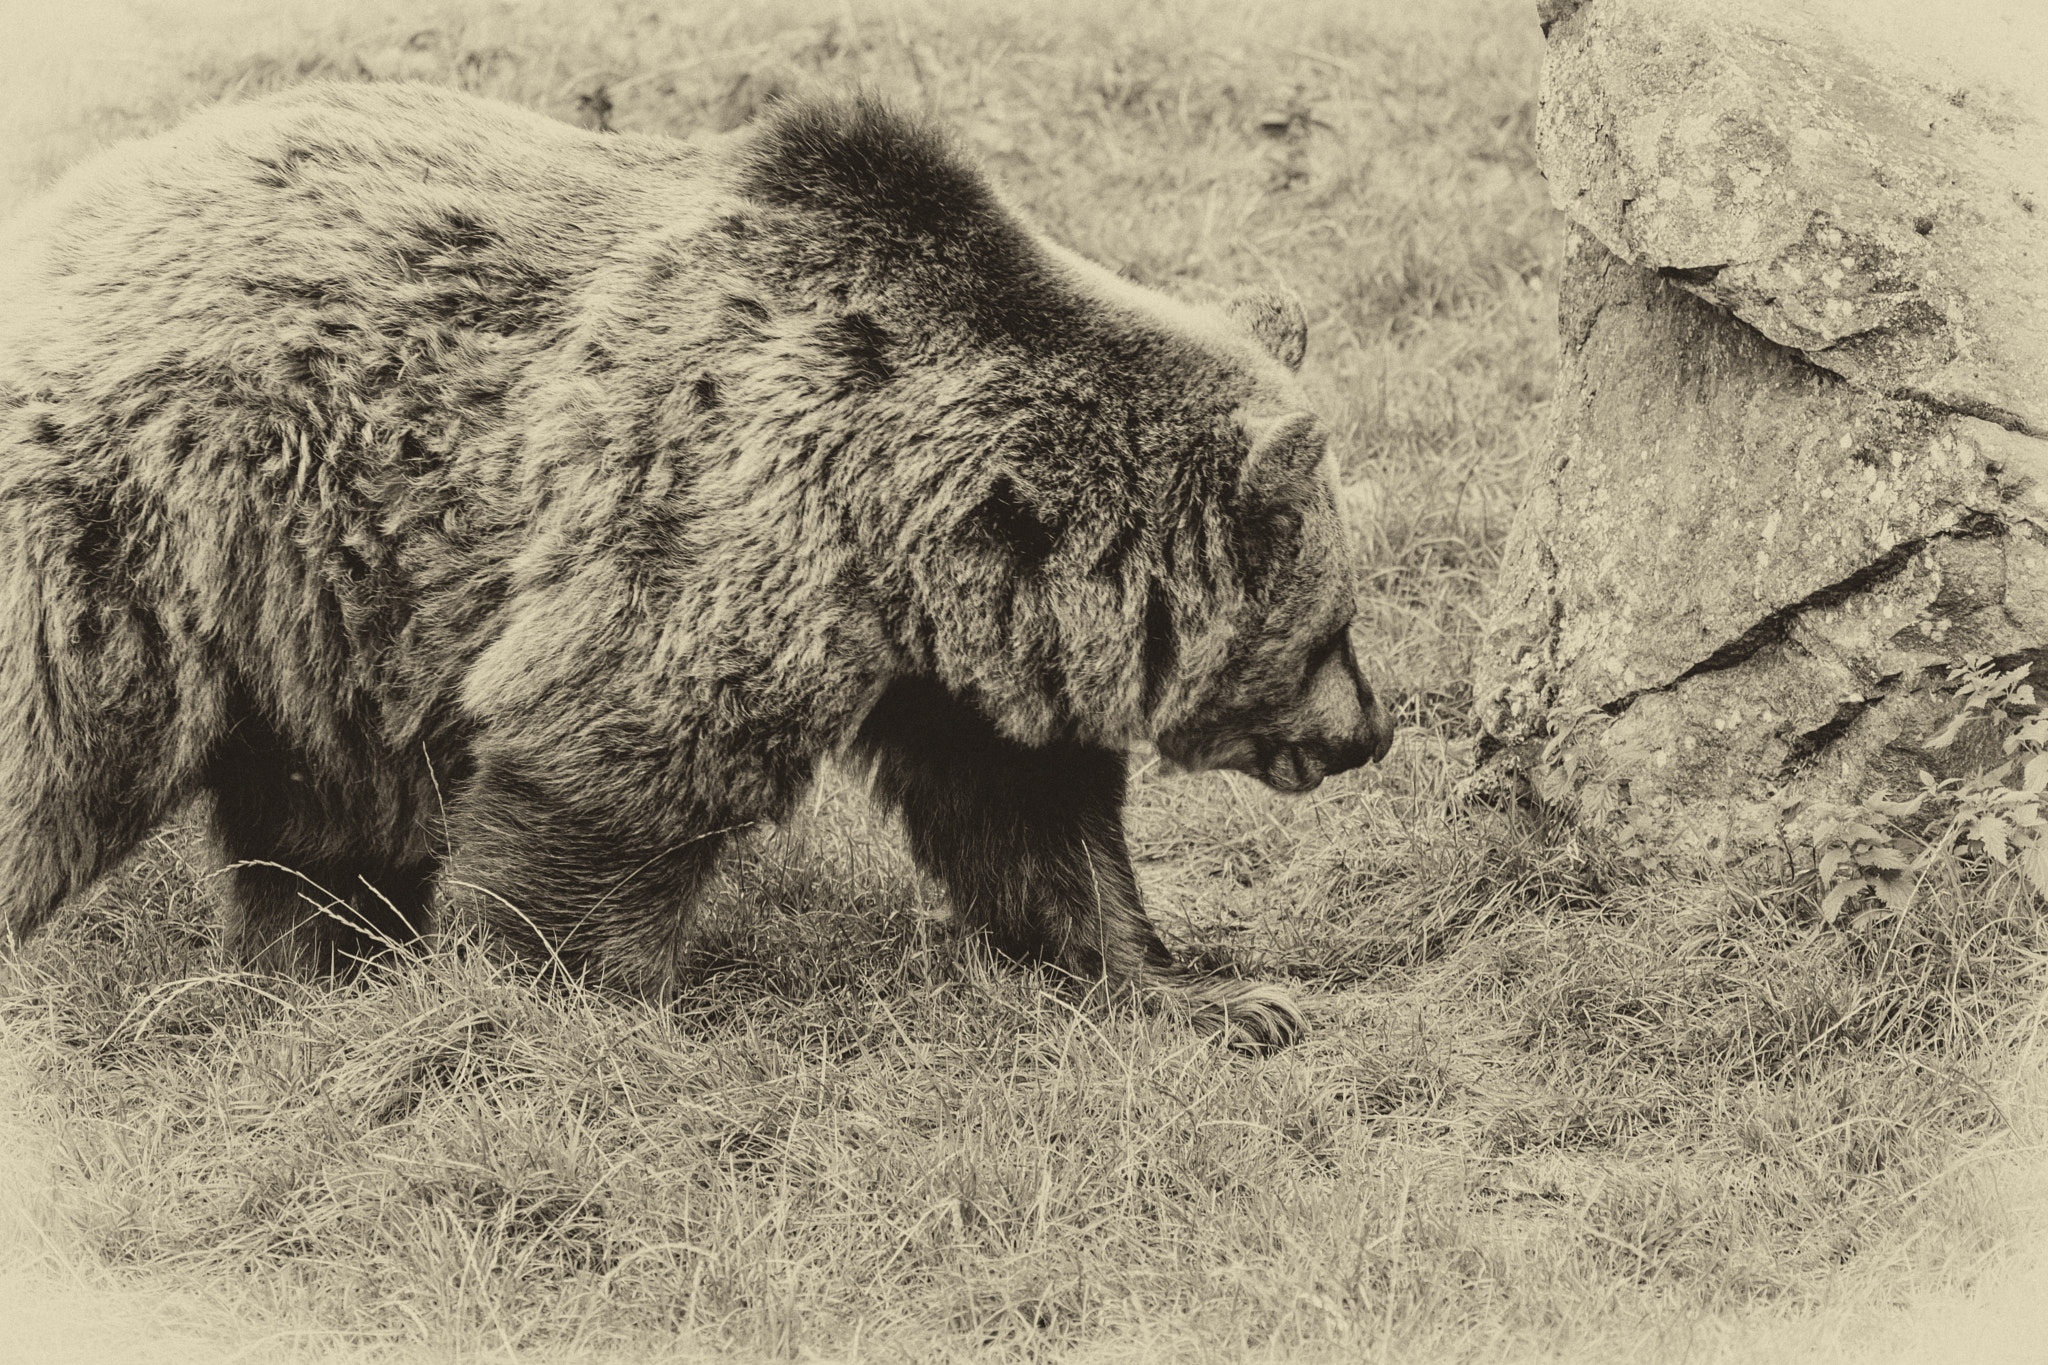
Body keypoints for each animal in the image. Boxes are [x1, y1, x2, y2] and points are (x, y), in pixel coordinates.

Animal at [0, 82, 1394, 1051]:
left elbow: (1033, 825)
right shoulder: (726, 510)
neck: (921, 526)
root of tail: (66, 212)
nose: (1369, 732)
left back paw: (325, 958)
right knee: (53, 752)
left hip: (326, 607)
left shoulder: (948, 658)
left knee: (314, 805)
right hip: (140, 524)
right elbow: (616, 755)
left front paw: (1209, 994)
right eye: (1330, 626)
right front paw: (569, 994)